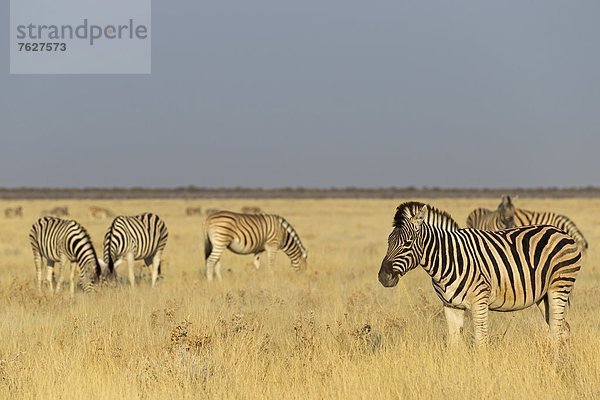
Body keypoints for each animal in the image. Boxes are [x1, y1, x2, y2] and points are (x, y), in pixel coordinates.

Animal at [380, 202, 580, 348]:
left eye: (408, 243)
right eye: (388, 241)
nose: (383, 277)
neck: (449, 259)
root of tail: (560, 231)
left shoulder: (480, 302)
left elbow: (481, 341)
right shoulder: (451, 305)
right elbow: (454, 343)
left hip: (559, 286)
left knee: (556, 331)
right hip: (543, 296)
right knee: (564, 328)